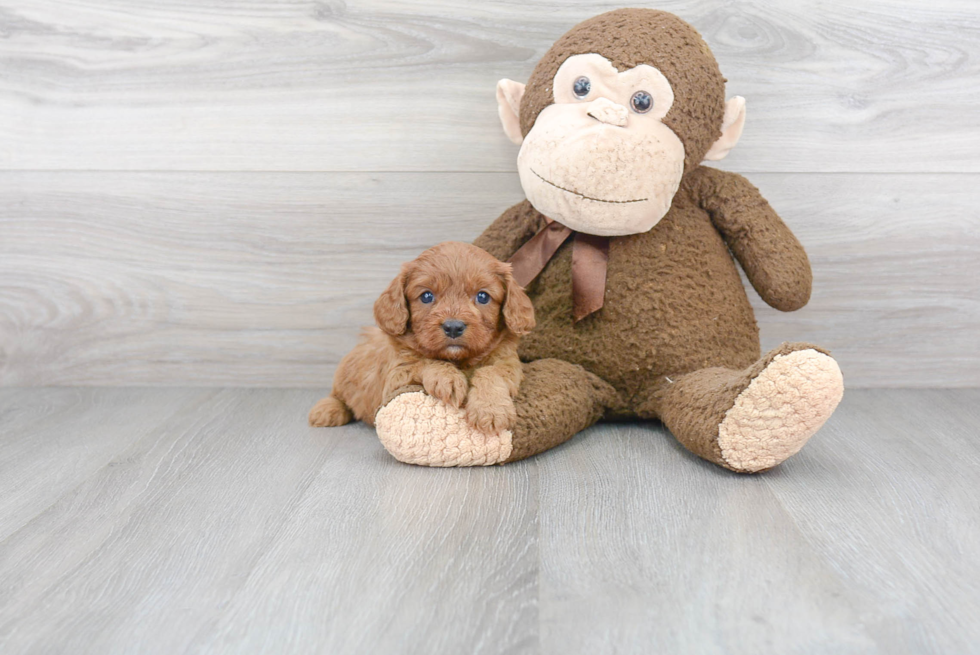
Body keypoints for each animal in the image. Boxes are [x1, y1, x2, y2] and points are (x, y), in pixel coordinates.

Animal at [308, 241, 532, 436]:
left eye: (483, 297)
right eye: (426, 296)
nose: (453, 327)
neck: (459, 361)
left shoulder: (508, 363)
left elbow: (490, 372)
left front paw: (491, 409)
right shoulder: (395, 378)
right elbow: (423, 361)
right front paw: (447, 377)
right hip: (344, 375)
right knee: (338, 395)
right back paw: (327, 410)